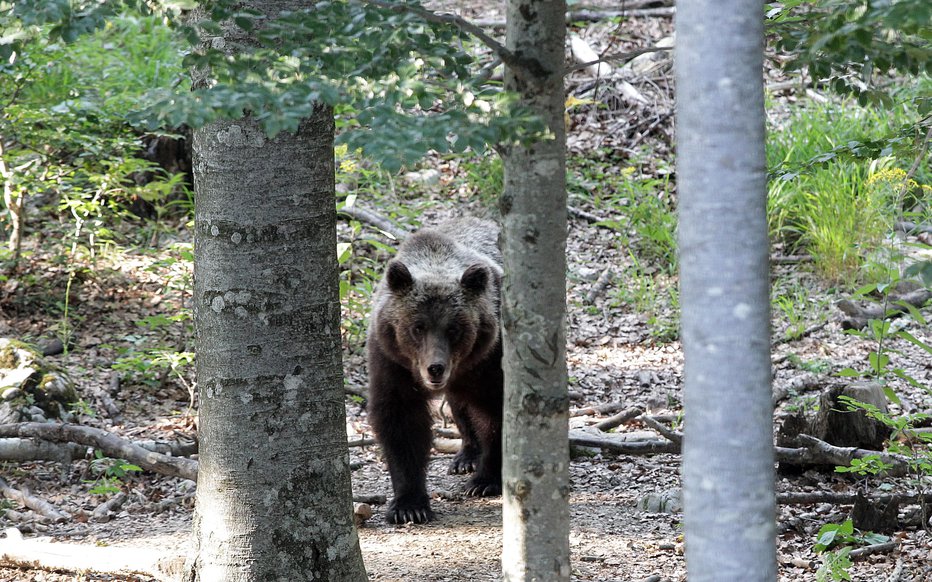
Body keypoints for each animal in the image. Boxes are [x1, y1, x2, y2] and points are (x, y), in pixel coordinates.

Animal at [368, 217, 506, 528]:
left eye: (453, 328)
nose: (435, 368)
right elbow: (401, 422)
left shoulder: (489, 359)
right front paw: (409, 505)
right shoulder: (392, 363)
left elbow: (494, 410)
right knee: (460, 407)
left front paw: (485, 480)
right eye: (418, 327)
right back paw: (465, 456)